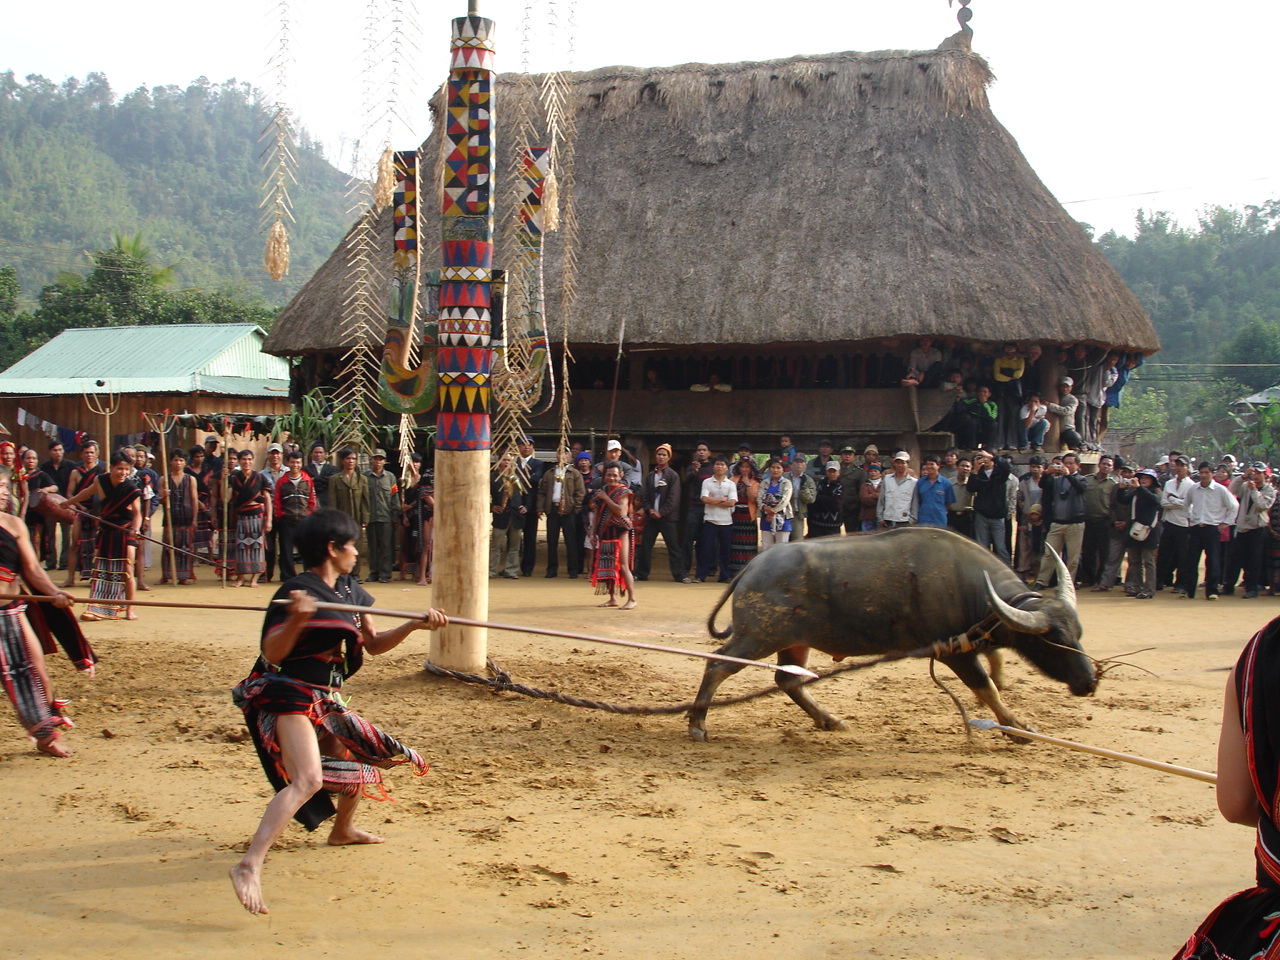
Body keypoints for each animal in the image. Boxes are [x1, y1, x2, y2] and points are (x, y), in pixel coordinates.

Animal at [686, 527, 1095, 742]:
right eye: (1052, 641)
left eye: (1078, 633)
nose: (1089, 682)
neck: (969, 586)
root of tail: (753, 565)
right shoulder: (955, 653)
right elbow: (986, 688)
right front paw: (1018, 728)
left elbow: (993, 667)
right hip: (758, 636)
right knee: (716, 666)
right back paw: (697, 724)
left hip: (793, 641)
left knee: (788, 680)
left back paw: (829, 720)